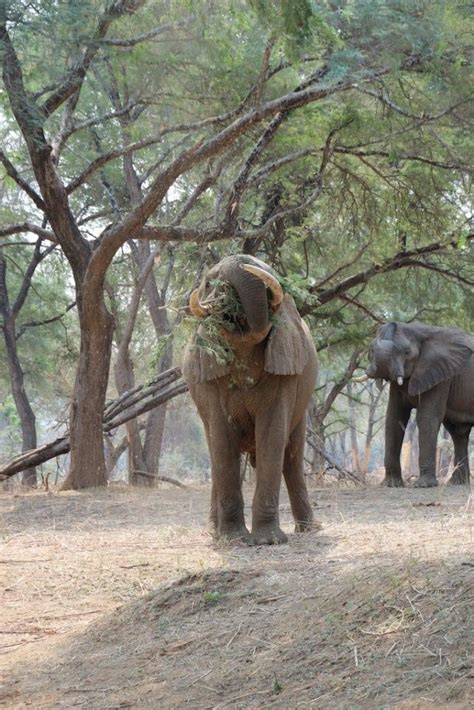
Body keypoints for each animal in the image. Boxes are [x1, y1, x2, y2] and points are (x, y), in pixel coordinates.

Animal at [182, 254, 318, 544]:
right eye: (208, 283)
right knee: (215, 454)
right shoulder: (210, 377)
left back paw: (310, 529)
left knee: (292, 458)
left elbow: (271, 436)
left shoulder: (283, 372)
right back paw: (213, 533)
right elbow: (222, 440)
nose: (242, 260)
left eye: (270, 279)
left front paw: (268, 541)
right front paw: (233, 539)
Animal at [366, 324, 474, 490]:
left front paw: (423, 485)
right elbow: (393, 418)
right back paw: (457, 482)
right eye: (370, 350)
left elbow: (426, 418)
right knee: (458, 432)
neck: (420, 331)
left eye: (406, 352)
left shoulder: (440, 374)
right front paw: (391, 484)